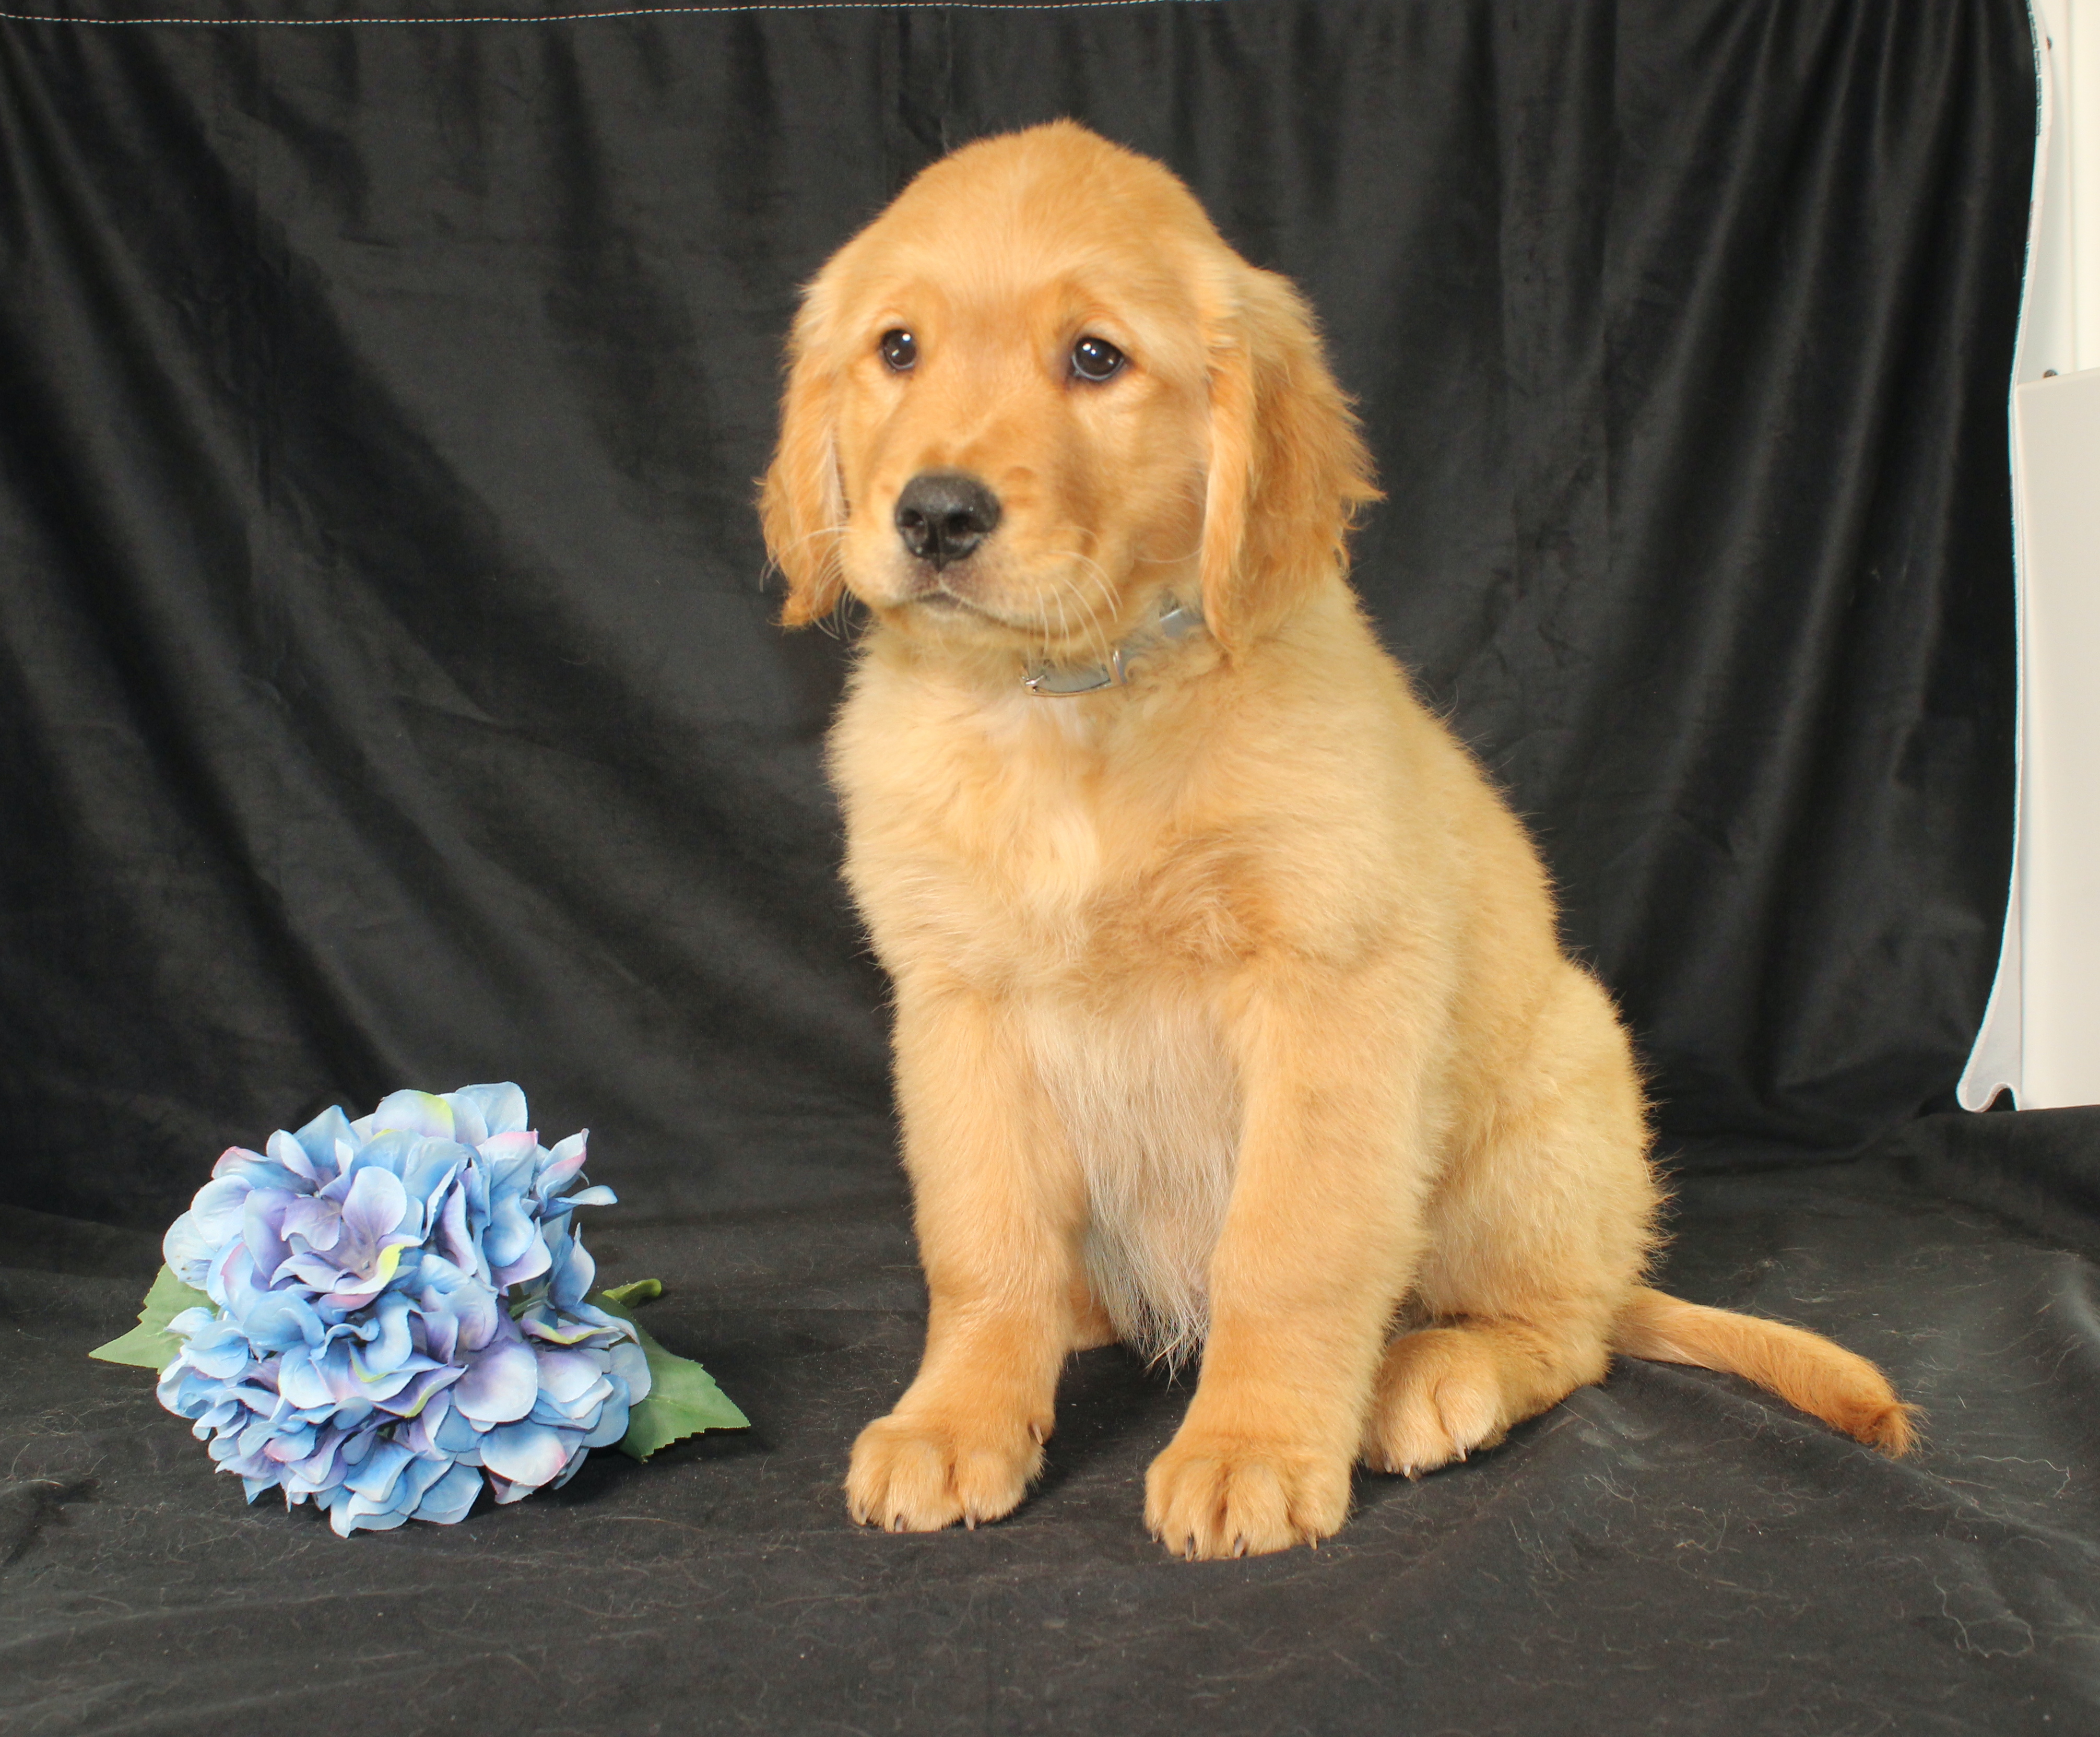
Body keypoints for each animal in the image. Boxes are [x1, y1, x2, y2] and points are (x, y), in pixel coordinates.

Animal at [760, 122, 1924, 1563]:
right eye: (898, 347)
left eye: (1095, 357)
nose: (934, 516)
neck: (1080, 706)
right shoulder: (956, 1005)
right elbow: (981, 1248)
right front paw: (958, 1415)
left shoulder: (1330, 991)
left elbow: (1289, 1247)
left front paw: (1250, 1447)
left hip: (1548, 1108)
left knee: (1569, 1335)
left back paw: (1435, 1375)